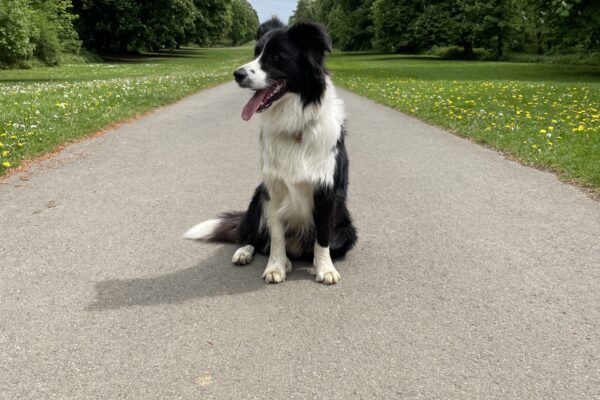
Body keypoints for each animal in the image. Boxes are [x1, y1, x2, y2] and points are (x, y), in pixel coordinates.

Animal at [184, 17, 356, 282]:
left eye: (276, 56)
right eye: (256, 53)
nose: (237, 74)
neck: (294, 124)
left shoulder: (326, 192)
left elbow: (323, 238)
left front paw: (325, 268)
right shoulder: (272, 189)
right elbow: (276, 236)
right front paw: (275, 266)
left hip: (347, 229)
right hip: (257, 196)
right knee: (254, 238)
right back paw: (250, 253)